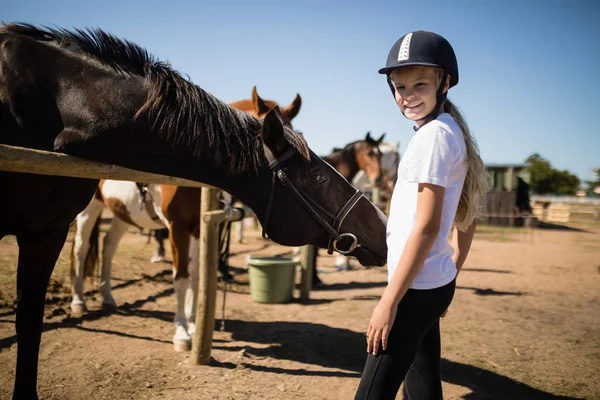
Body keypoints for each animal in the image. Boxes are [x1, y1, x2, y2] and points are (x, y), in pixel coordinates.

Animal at [0, 24, 386, 396]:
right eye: (318, 177)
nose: (383, 226)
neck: (64, 102)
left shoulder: (200, 228)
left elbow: (199, 276)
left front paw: (194, 321)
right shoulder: (174, 227)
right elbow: (182, 276)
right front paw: (183, 334)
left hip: (122, 216)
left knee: (108, 247)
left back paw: (108, 297)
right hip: (87, 214)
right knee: (81, 250)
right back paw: (80, 301)